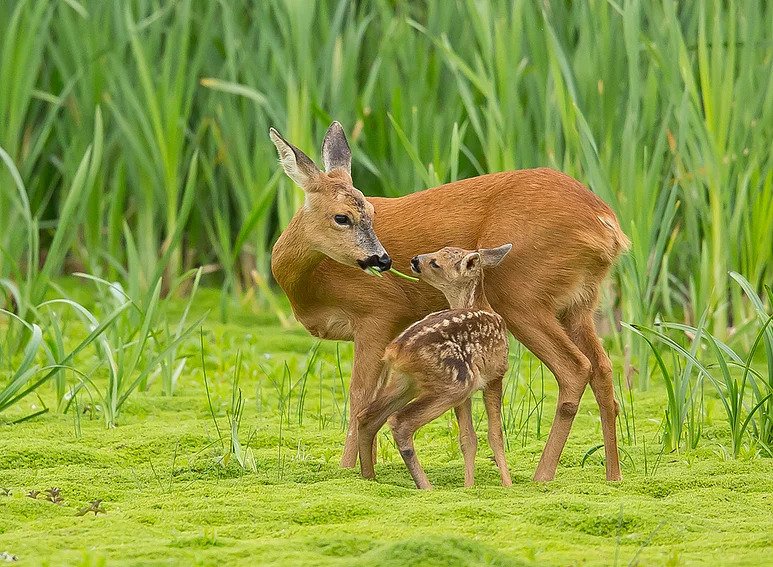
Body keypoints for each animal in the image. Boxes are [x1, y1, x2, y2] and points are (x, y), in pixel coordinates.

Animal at [270, 122, 628, 482]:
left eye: (370, 211)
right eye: (342, 217)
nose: (383, 261)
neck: (308, 286)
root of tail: (606, 224)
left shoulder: (377, 312)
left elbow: (358, 396)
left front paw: (348, 471)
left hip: (521, 295)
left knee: (575, 368)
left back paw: (541, 476)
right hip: (580, 303)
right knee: (603, 368)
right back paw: (613, 475)